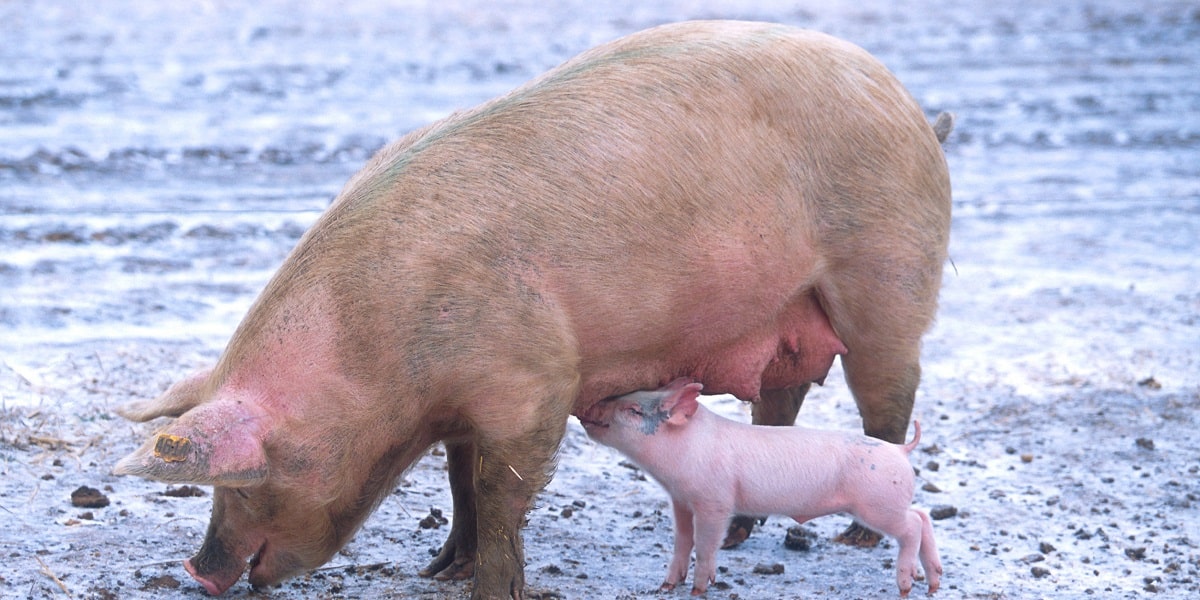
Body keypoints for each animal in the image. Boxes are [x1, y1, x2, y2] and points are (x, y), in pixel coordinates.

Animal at [580, 379, 936, 595]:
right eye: (625, 397)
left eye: (633, 410)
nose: (588, 408)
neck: (685, 449)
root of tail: (901, 450)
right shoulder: (681, 500)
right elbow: (682, 540)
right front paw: (666, 586)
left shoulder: (715, 501)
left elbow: (706, 544)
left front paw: (698, 590)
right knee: (923, 515)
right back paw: (932, 583)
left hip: (878, 504)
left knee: (912, 526)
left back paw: (906, 586)